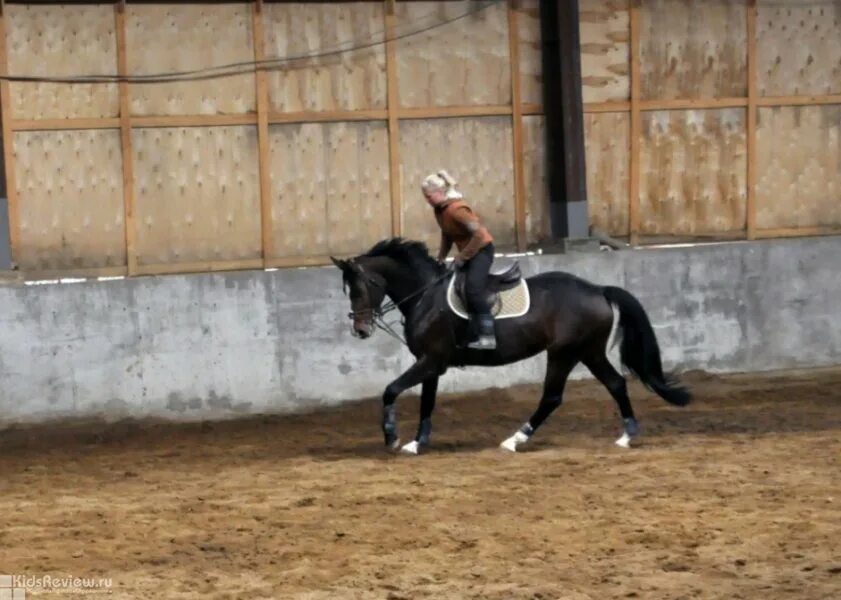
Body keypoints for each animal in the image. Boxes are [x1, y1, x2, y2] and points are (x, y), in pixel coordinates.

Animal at [330, 237, 688, 452]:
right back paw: (626, 435)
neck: (425, 296)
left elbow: (391, 390)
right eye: (348, 289)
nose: (360, 330)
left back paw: (516, 439)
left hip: (565, 352)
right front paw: (418, 443)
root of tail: (598, 289)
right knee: (615, 384)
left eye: (361, 287)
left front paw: (391, 436)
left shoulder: (430, 361)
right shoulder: (431, 364)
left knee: (553, 396)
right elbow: (426, 404)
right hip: (588, 352)